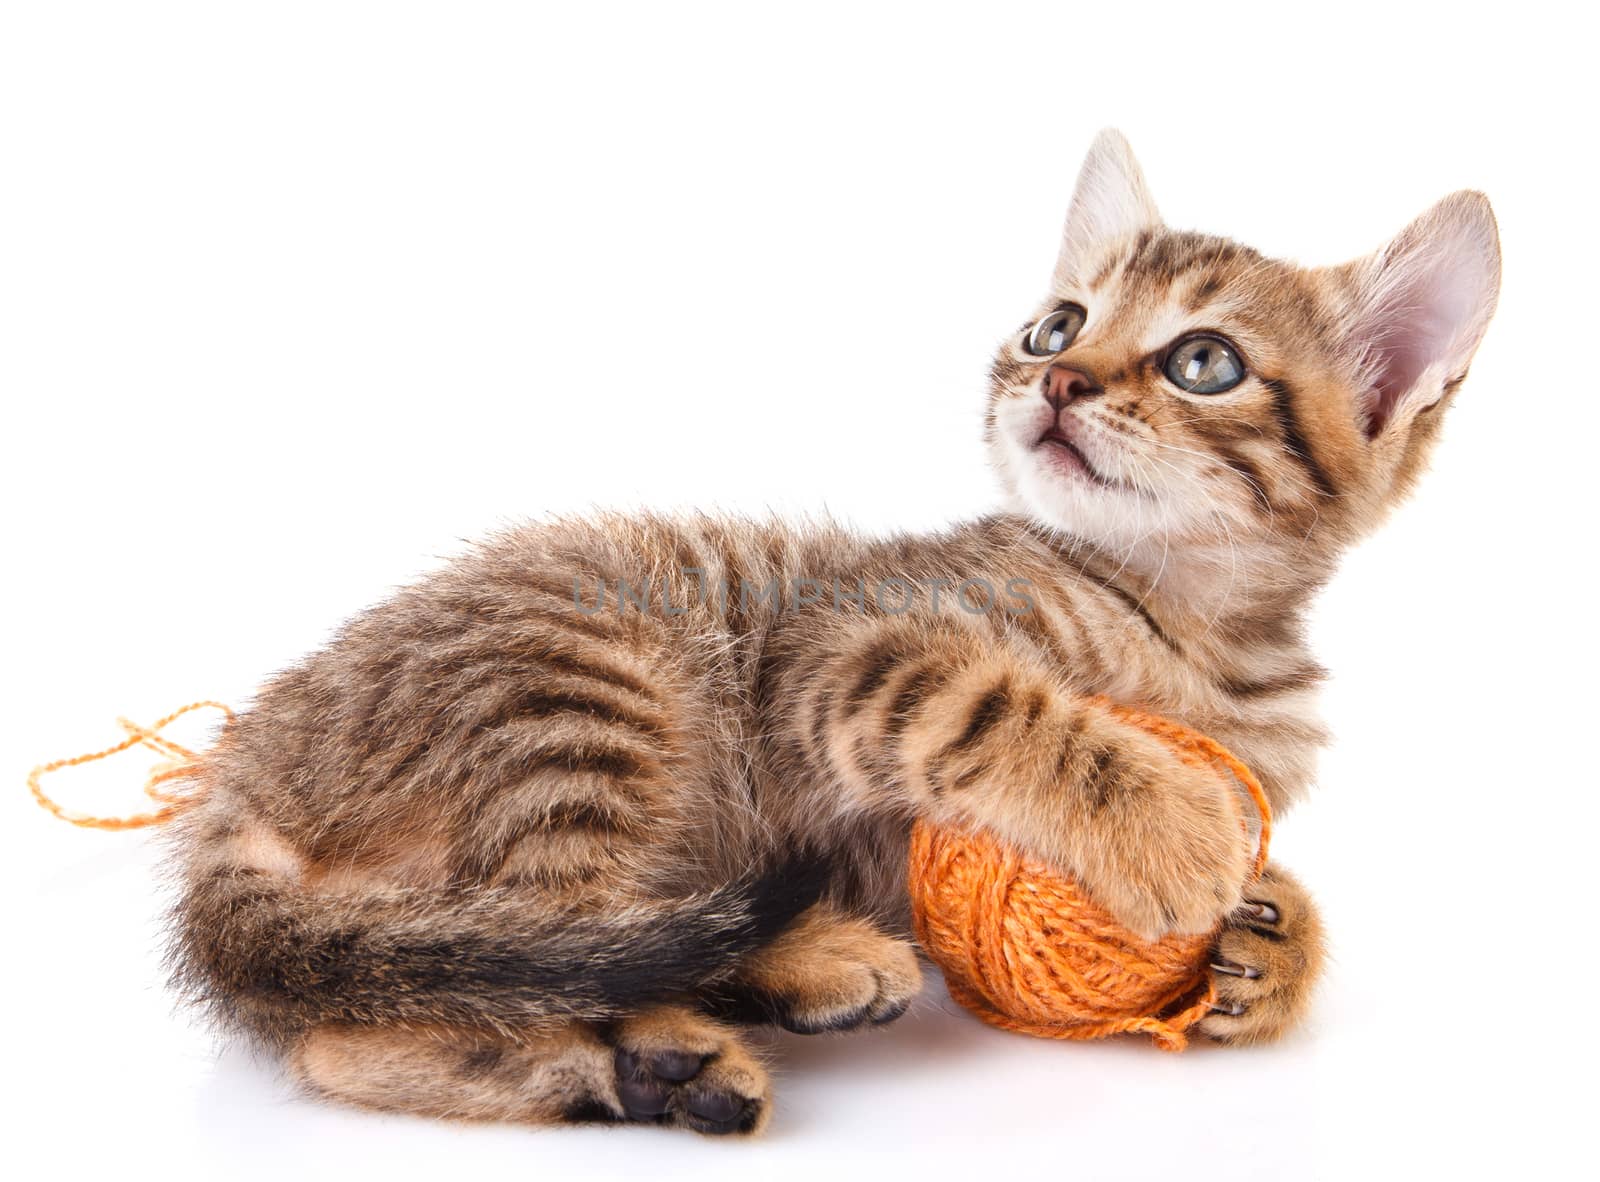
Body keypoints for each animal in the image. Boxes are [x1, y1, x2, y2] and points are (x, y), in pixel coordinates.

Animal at [172, 131, 1497, 1138]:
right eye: (1057, 325)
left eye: (1204, 361)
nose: (1057, 381)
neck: (1183, 625)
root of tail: (242, 778)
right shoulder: (848, 647)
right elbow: (1007, 707)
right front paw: (1166, 824)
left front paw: (1273, 947)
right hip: (593, 685)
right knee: (511, 957)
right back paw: (737, 1006)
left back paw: (654, 1067)